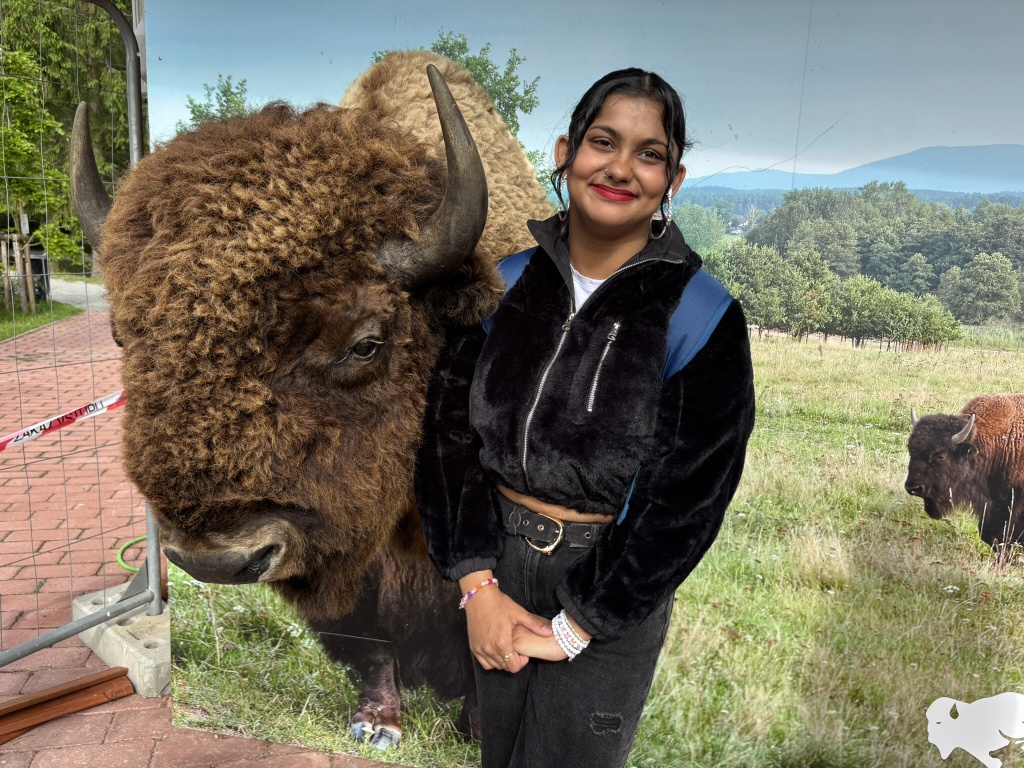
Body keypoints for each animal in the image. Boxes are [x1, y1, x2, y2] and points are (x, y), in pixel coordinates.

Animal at [70, 51, 553, 748]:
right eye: (120, 335)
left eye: (366, 343)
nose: (216, 560)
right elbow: (369, 638)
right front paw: (376, 724)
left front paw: (479, 732)